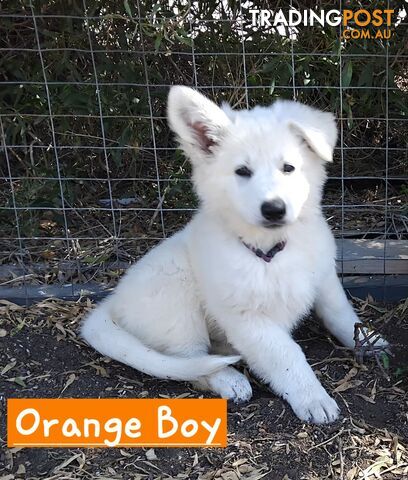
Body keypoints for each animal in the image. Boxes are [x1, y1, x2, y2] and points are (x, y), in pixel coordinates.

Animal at [82, 86, 386, 424]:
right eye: (242, 172)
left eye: (288, 168)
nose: (274, 209)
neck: (270, 251)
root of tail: (111, 303)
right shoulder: (247, 319)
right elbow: (287, 355)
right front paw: (312, 397)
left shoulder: (323, 279)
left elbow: (341, 314)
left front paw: (370, 340)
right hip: (175, 293)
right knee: (189, 363)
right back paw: (229, 379)